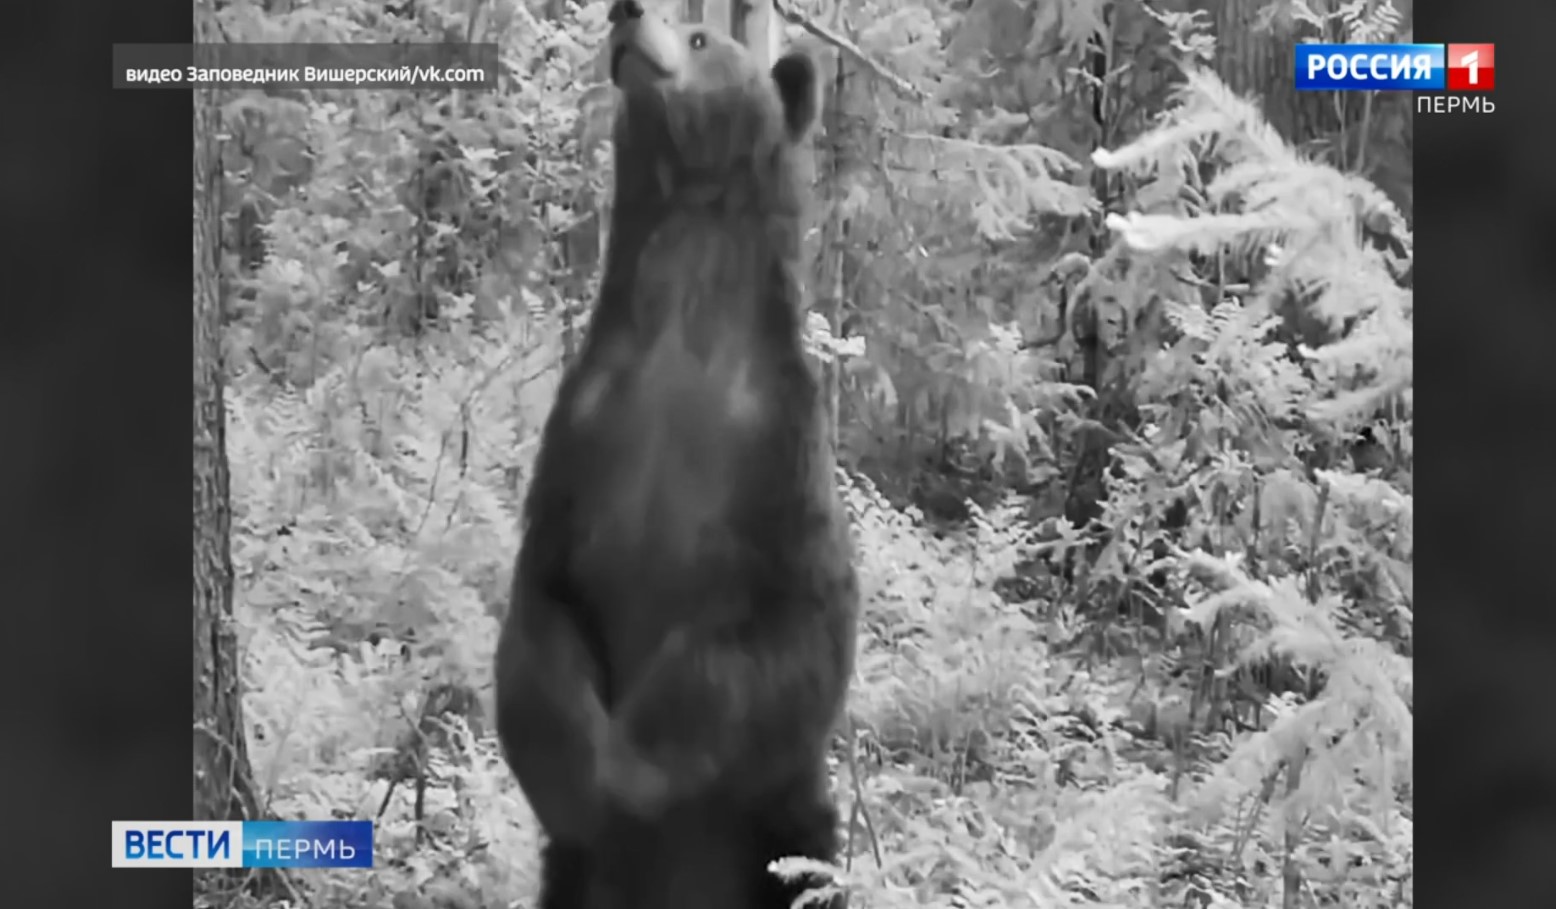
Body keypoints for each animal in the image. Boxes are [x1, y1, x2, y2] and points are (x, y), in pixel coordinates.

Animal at [494, 1, 858, 909]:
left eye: (701, 37)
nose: (627, 13)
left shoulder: (775, 451)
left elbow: (784, 637)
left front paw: (629, 767)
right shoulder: (585, 435)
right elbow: (541, 613)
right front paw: (577, 770)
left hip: (788, 829)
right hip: (570, 881)